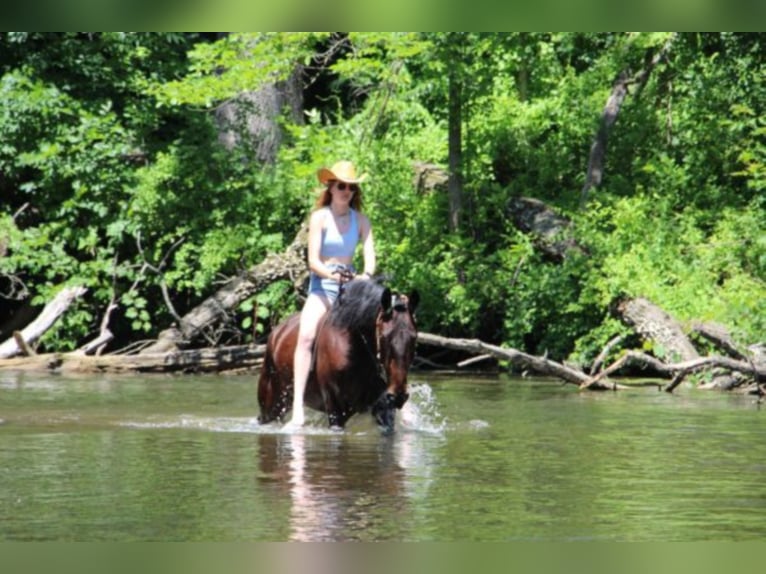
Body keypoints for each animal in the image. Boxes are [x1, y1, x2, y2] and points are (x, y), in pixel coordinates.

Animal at [258, 280, 420, 436]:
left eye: (413, 337)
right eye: (384, 337)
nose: (398, 396)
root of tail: (276, 332)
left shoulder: (381, 407)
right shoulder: (335, 408)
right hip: (270, 403)